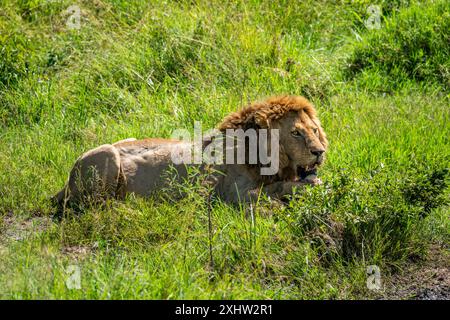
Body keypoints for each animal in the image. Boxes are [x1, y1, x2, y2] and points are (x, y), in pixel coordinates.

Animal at [52, 95, 328, 210]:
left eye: (315, 130)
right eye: (296, 133)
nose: (319, 151)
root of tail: (64, 185)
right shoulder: (232, 196)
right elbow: (274, 190)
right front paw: (308, 187)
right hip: (107, 154)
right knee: (93, 204)